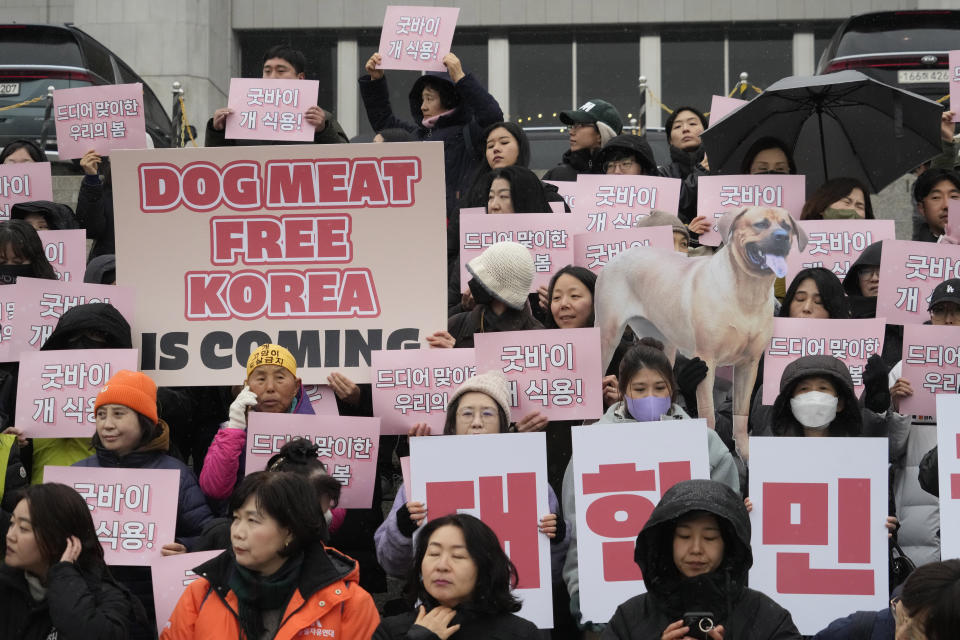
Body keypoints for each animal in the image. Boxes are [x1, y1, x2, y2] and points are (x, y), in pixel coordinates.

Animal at [596, 208, 808, 458]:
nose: (781, 238)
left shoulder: (749, 364)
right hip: (607, 336)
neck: (748, 291)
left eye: (787, 227)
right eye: (760, 224)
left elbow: (741, 412)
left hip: (661, 342)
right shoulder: (707, 360)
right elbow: (707, 412)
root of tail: (616, 257)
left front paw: (745, 451)